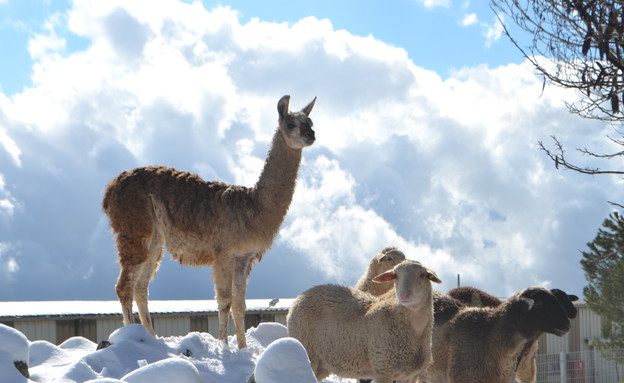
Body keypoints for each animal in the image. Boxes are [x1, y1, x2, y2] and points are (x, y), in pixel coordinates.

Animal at [286, 260, 442, 383]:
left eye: (422, 275)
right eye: (396, 275)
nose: (404, 295)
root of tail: (300, 297)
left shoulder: (411, 376)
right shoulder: (383, 369)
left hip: (322, 364)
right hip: (308, 350)